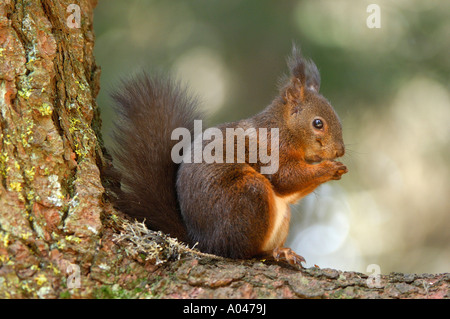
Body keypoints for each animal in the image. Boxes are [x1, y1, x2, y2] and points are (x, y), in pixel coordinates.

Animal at [107, 43, 346, 266]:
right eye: (318, 123)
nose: (340, 150)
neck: (283, 128)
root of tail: (203, 242)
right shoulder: (269, 150)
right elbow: (285, 178)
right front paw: (330, 168)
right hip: (249, 196)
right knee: (240, 251)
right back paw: (271, 253)